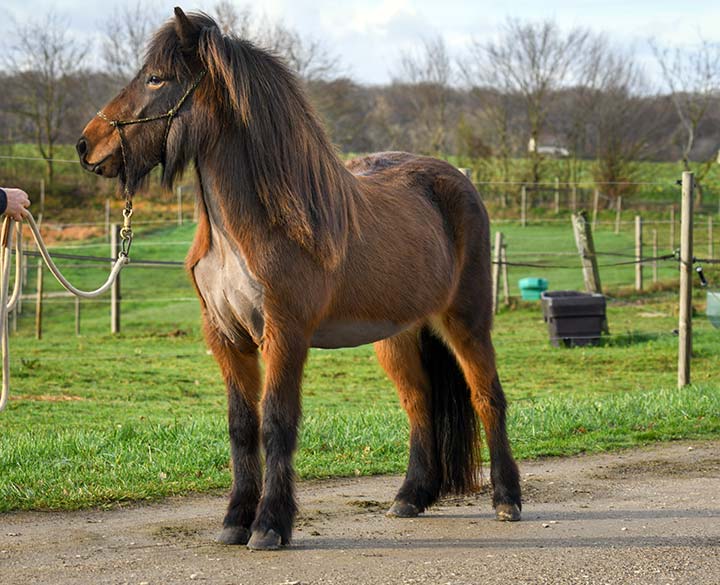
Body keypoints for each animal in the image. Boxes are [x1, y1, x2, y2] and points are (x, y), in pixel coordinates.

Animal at [76, 6, 520, 548]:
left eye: (156, 78)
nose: (86, 145)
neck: (253, 227)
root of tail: (459, 182)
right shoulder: (226, 338)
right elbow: (241, 427)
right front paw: (234, 520)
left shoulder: (285, 335)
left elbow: (276, 425)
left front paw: (269, 524)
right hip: (398, 335)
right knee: (419, 402)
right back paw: (410, 496)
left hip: (466, 321)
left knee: (487, 398)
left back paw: (506, 499)